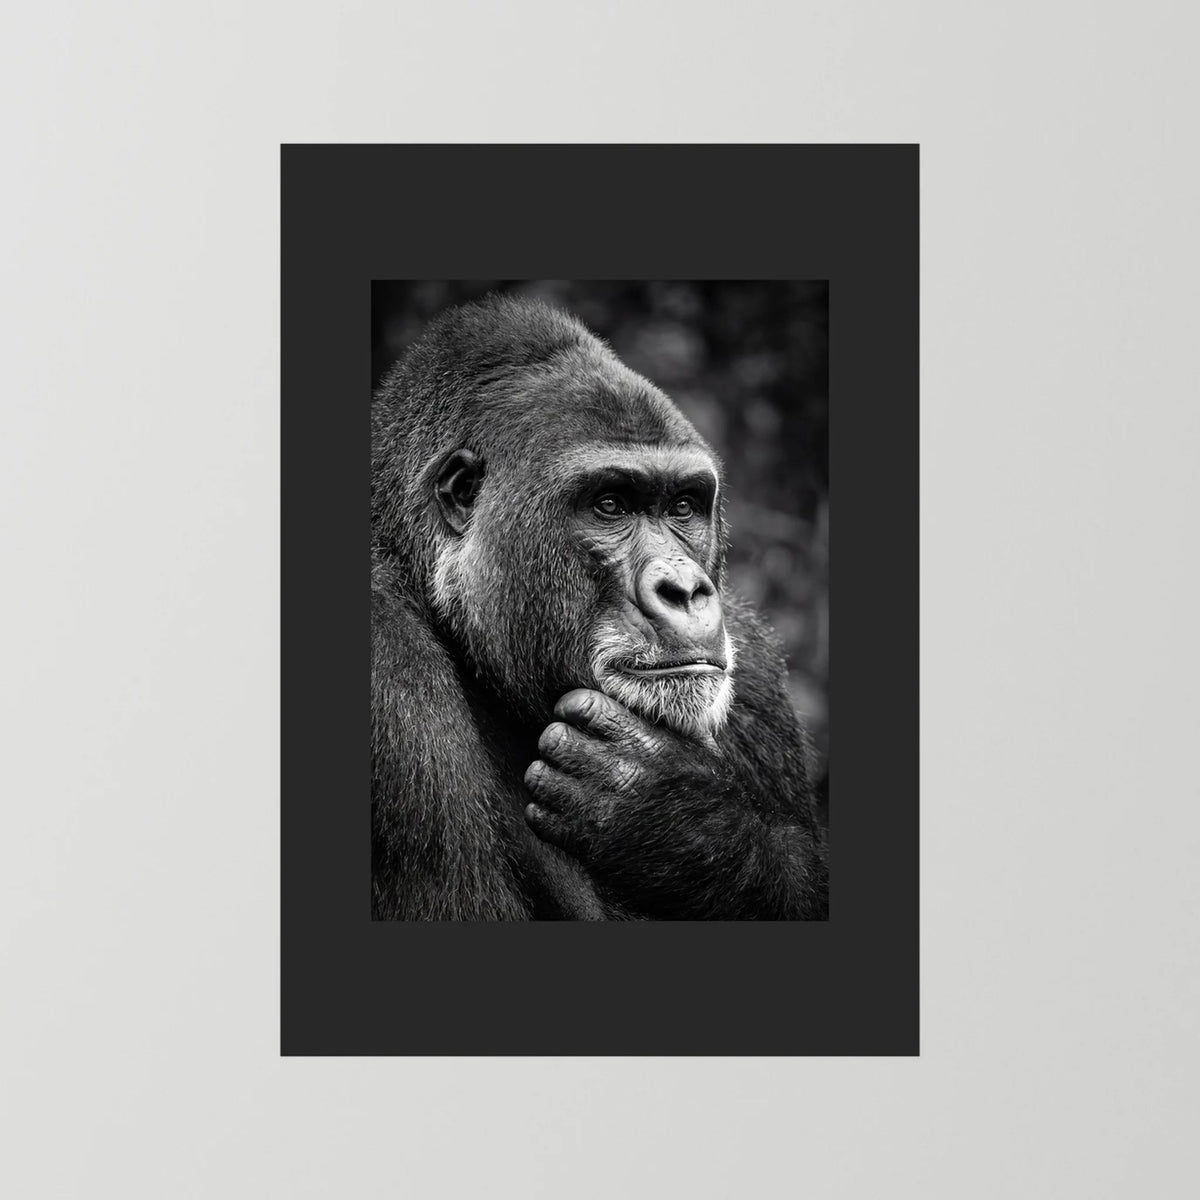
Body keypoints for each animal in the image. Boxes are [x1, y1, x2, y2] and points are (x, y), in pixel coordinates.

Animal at [371, 294, 828, 919]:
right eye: (610, 505)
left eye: (683, 506)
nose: (684, 590)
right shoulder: (388, 671)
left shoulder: (756, 668)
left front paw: (678, 815)